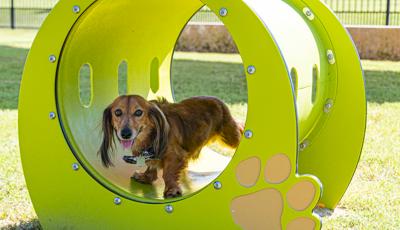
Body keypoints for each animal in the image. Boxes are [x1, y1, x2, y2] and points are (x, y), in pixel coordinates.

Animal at [99, 95, 244, 198]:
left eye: (138, 112)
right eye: (117, 112)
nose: (125, 134)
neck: (151, 134)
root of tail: (218, 100)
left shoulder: (175, 155)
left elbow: (168, 173)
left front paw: (172, 189)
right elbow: (151, 166)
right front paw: (146, 177)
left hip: (229, 137)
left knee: (238, 128)